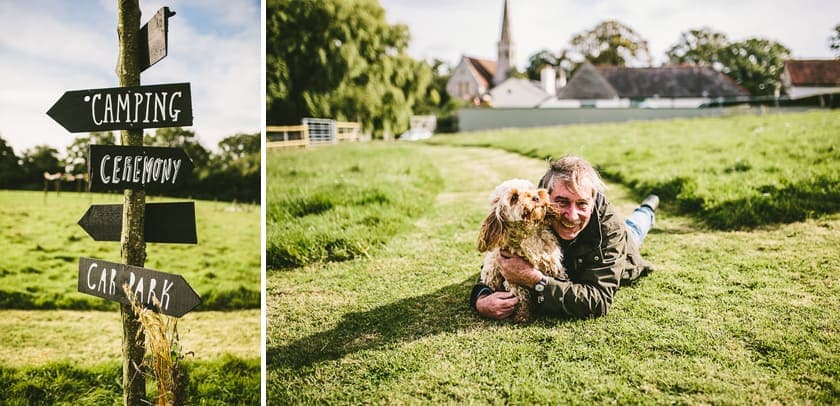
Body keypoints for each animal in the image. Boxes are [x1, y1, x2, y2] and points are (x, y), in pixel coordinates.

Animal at [480, 178, 564, 324]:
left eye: (530, 188)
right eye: (514, 197)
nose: (536, 197)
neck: (528, 236)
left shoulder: (553, 264)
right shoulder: (512, 279)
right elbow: (521, 297)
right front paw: (522, 316)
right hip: (491, 272)